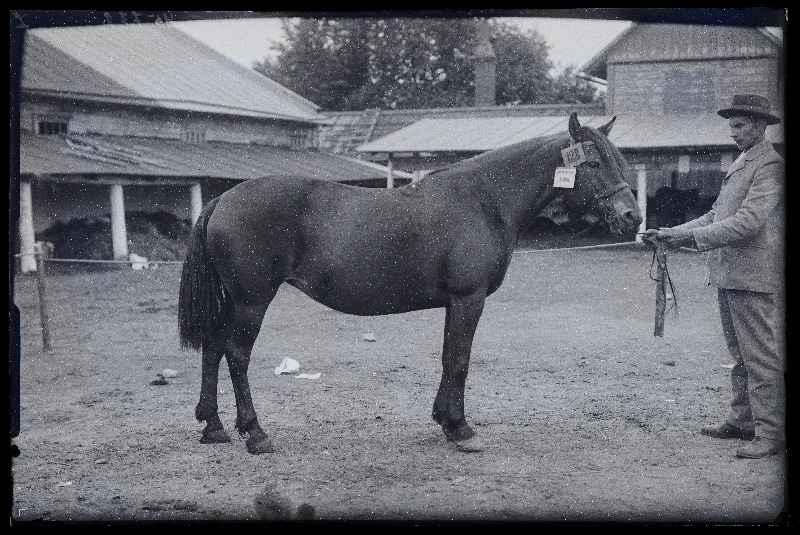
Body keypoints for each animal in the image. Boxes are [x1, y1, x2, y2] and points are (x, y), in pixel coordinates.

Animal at [178, 114, 640, 456]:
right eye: (594, 163)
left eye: (618, 160)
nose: (632, 217)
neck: (484, 201)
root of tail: (224, 200)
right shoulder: (469, 298)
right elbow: (460, 361)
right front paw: (462, 430)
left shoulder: (454, 302)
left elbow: (448, 357)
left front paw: (445, 421)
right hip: (252, 302)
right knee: (236, 355)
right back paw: (255, 433)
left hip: (233, 302)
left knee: (213, 348)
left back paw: (213, 426)